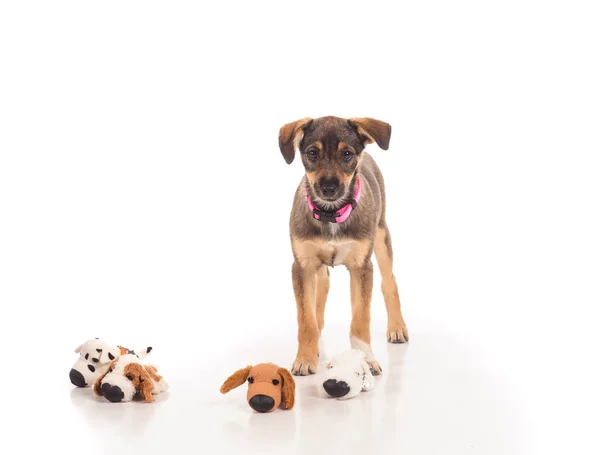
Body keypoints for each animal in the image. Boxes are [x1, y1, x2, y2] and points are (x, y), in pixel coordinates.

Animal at [278, 115, 410, 378]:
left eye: (347, 154)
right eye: (312, 153)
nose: (329, 188)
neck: (330, 214)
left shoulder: (362, 267)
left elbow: (361, 317)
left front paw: (366, 359)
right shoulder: (301, 266)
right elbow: (305, 318)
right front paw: (305, 358)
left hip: (381, 237)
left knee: (389, 282)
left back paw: (397, 327)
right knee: (323, 286)